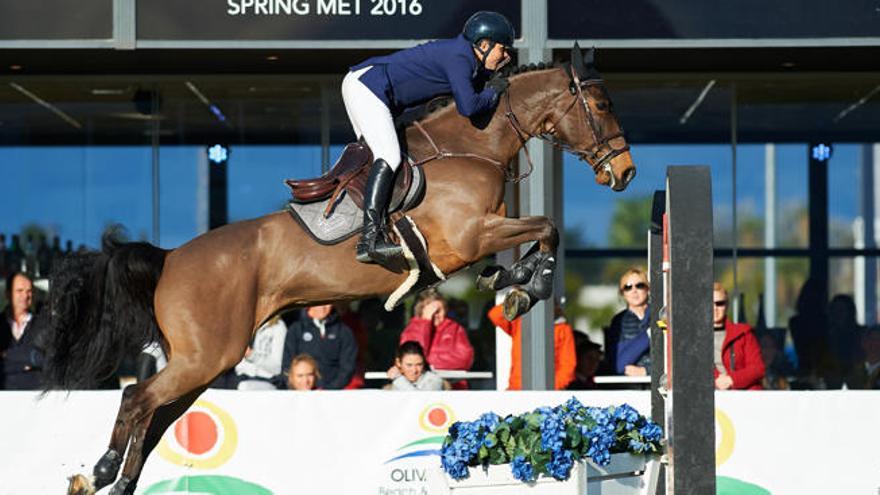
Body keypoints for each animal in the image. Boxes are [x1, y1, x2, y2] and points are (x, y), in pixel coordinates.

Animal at [44, 44, 632, 494]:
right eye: (601, 104)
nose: (625, 172)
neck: (474, 145)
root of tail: (170, 259)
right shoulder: (470, 235)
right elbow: (547, 227)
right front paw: (530, 286)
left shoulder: (472, 242)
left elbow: (531, 240)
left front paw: (512, 286)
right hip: (207, 355)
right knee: (136, 398)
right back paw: (99, 471)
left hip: (202, 362)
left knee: (155, 417)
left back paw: (117, 481)